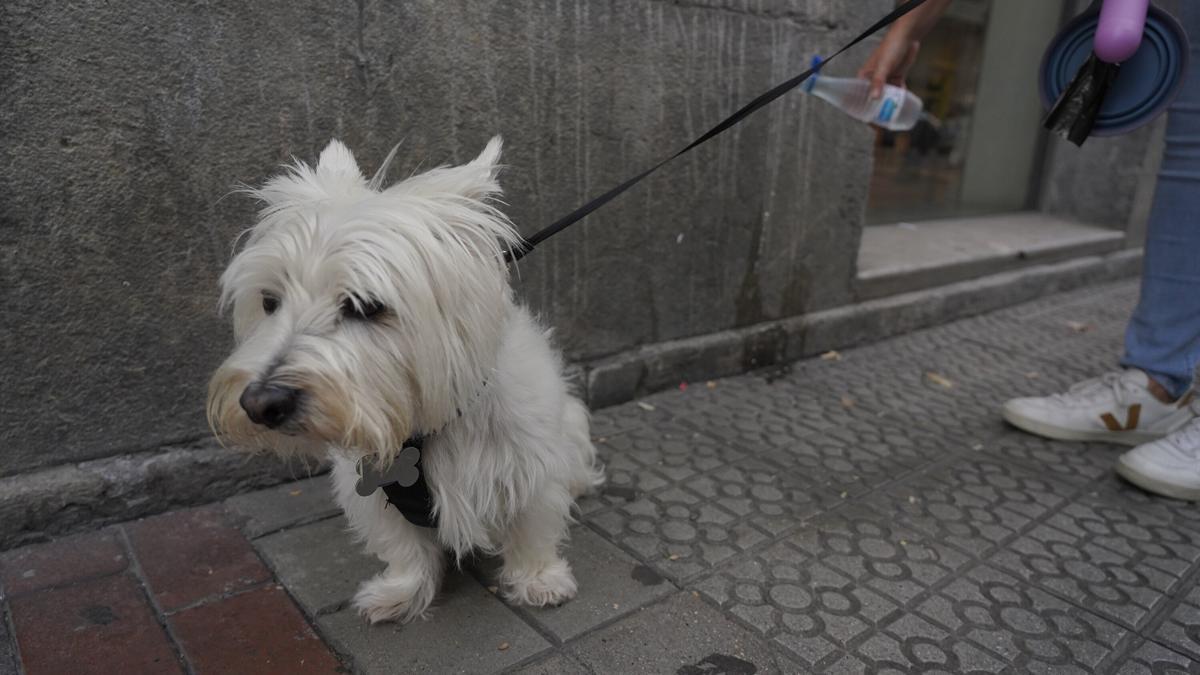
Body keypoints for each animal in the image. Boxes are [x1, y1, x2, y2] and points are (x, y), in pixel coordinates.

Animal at [207, 136, 604, 619]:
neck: (422, 429)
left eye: (364, 306)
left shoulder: (529, 467)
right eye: (269, 300)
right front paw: (400, 592)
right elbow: (403, 546)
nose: (261, 404)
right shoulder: (370, 492)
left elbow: (532, 526)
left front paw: (540, 580)